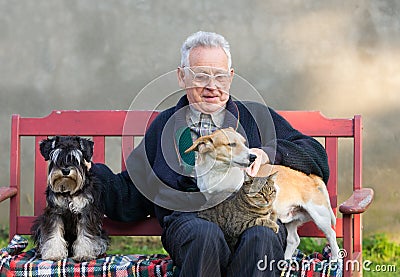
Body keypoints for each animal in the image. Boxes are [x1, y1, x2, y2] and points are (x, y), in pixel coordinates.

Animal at [186, 127, 340, 258]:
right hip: (292, 220)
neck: (219, 172)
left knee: (331, 235)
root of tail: (312, 178)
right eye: (231, 144)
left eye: (244, 143)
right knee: (293, 240)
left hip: (320, 216)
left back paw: (335, 258)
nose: (253, 157)